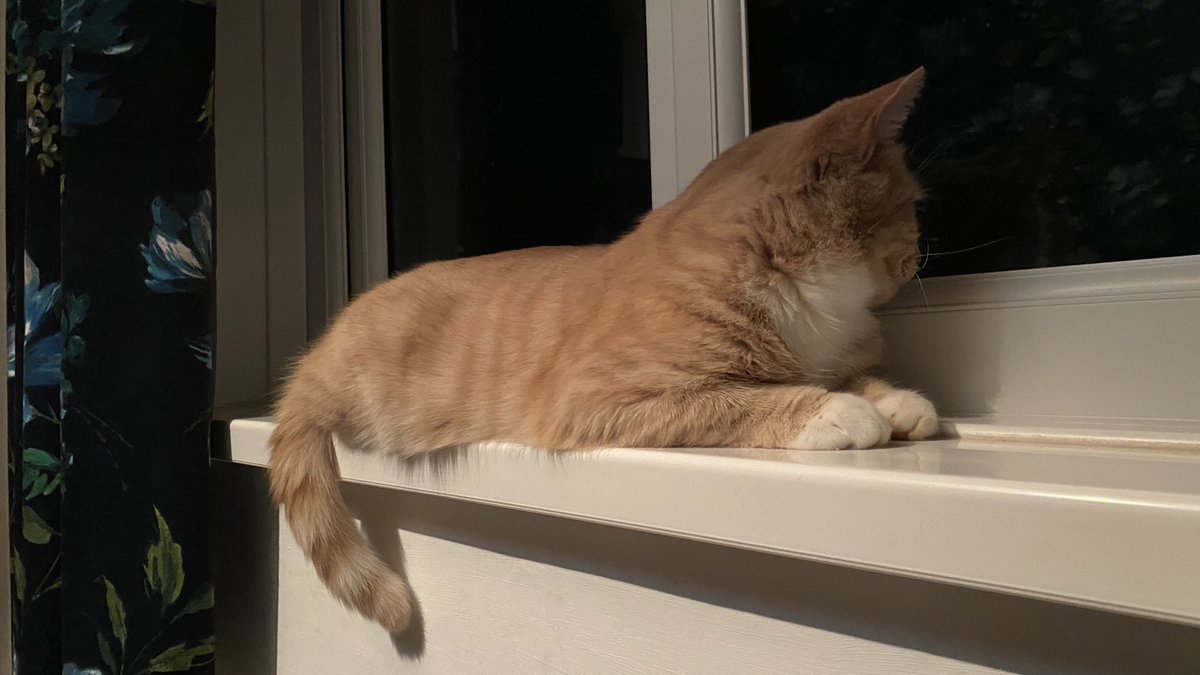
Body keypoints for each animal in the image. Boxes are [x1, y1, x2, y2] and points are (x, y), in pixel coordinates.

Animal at [270, 66, 936, 629]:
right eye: (910, 205)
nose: (919, 255)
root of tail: (311, 362)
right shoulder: (606, 402)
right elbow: (748, 397)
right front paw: (838, 411)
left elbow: (846, 377)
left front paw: (897, 402)